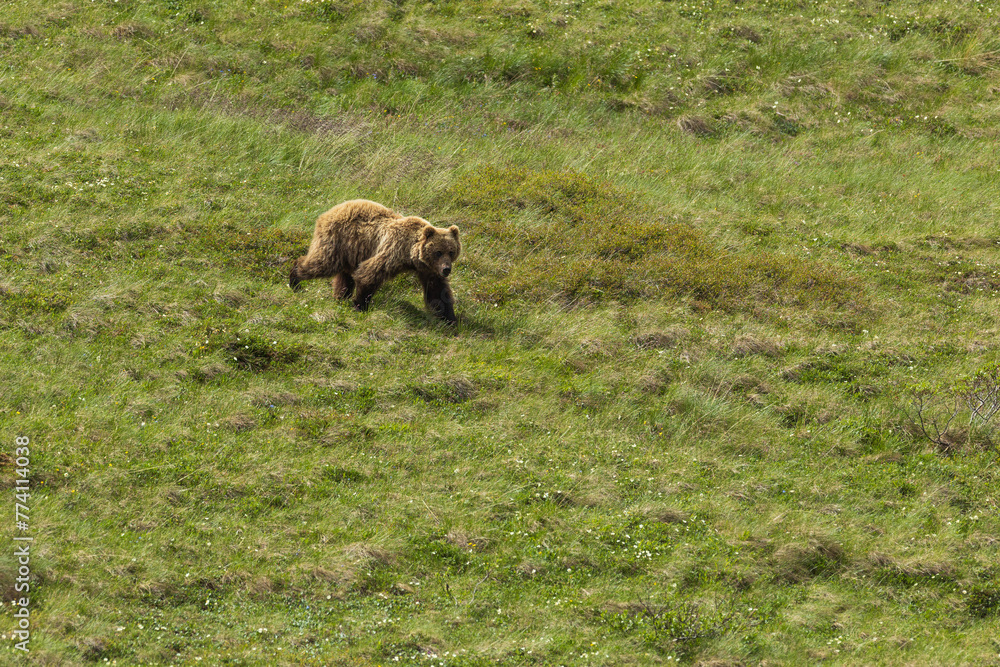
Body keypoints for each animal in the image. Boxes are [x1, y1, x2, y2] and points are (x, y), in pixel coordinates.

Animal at [289, 199, 461, 324]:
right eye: (438, 252)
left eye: (451, 251)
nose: (446, 269)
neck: (411, 255)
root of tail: (330, 210)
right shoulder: (393, 250)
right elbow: (369, 273)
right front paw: (360, 305)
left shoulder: (428, 269)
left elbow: (437, 291)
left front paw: (450, 318)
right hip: (336, 240)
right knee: (322, 263)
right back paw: (295, 279)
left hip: (351, 251)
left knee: (344, 276)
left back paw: (340, 296)